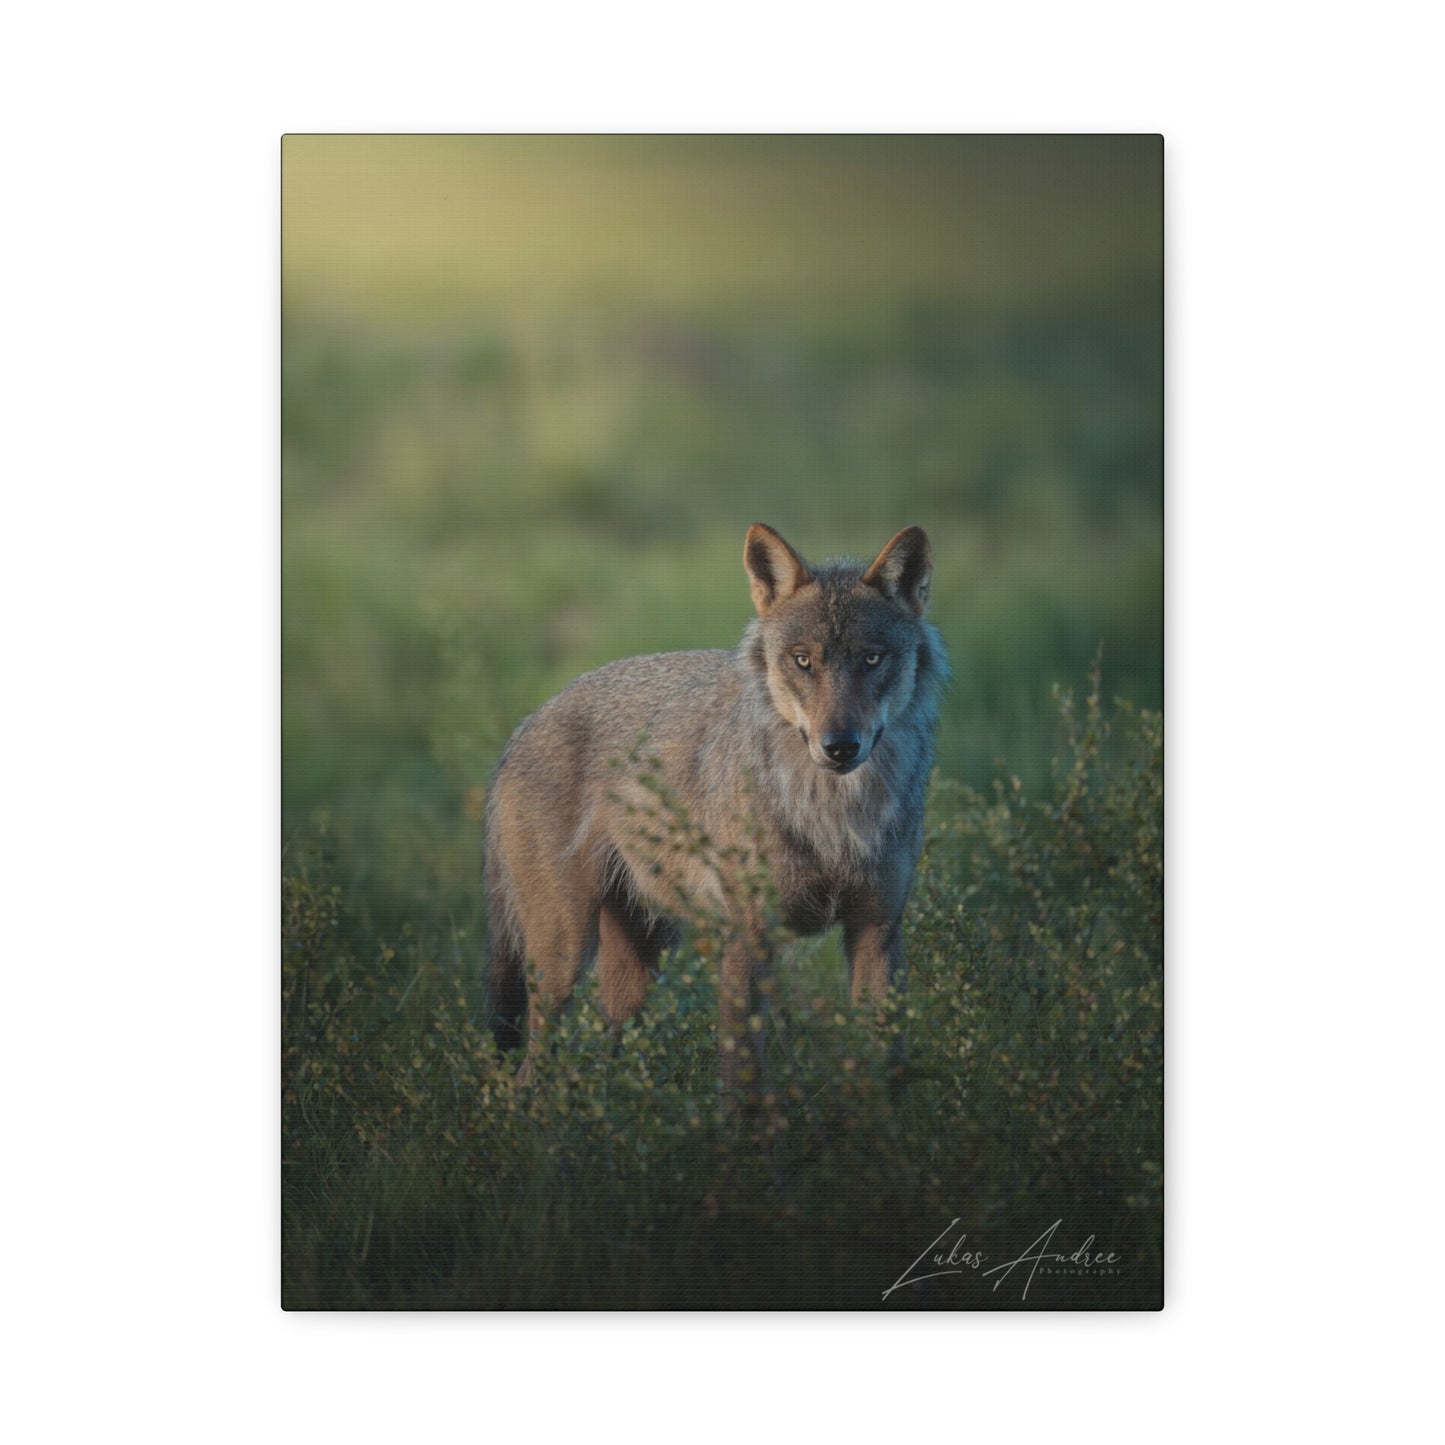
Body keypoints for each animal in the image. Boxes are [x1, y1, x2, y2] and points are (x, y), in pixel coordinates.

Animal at [484, 523, 947, 1096]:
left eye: (871, 659)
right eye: (802, 660)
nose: (840, 746)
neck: (834, 816)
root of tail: (523, 726)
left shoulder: (877, 933)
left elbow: (887, 1070)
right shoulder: (748, 939)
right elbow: (743, 1083)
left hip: (640, 966)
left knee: (603, 1058)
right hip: (563, 958)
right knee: (528, 1071)